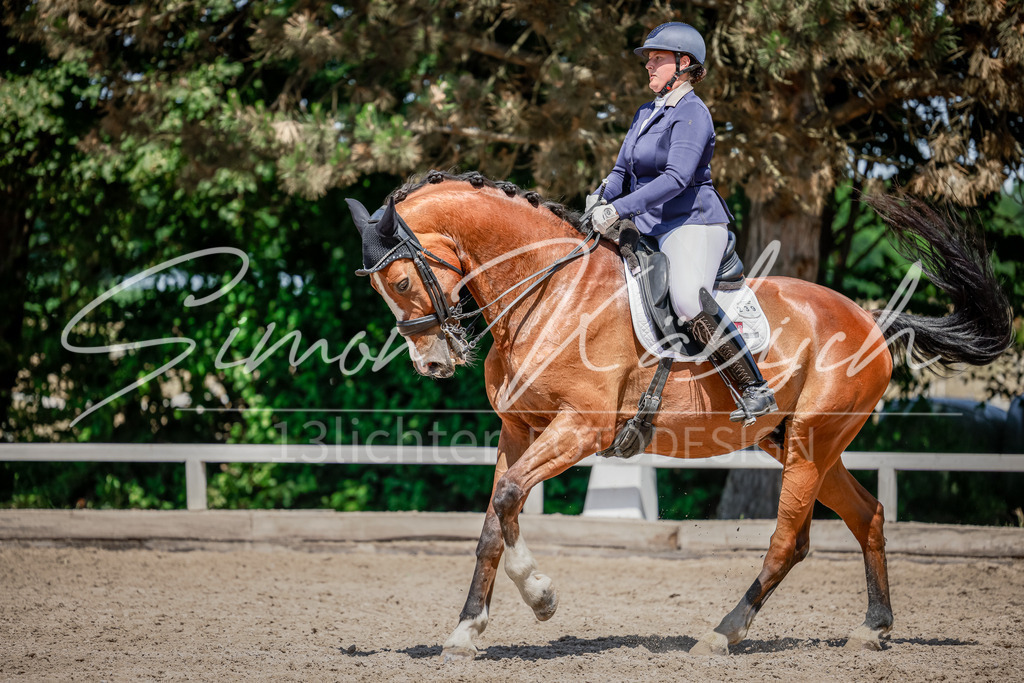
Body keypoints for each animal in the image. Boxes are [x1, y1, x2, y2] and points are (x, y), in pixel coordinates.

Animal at [345, 170, 1012, 659]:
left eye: (400, 281)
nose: (434, 362)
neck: (549, 292)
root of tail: (871, 319)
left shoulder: (581, 429)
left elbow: (508, 498)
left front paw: (540, 596)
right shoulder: (519, 429)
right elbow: (493, 518)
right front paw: (468, 629)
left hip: (809, 445)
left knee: (789, 540)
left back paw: (722, 633)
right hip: (802, 444)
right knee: (867, 515)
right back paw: (873, 628)